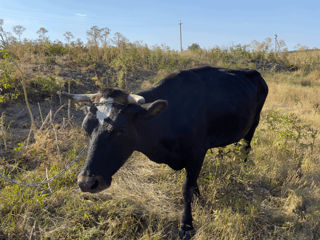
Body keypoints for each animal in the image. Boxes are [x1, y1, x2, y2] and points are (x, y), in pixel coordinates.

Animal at [63, 65, 268, 238]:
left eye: (121, 130)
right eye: (85, 128)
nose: (87, 182)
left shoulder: (196, 152)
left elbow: (186, 188)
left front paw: (187, 225)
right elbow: (192, 183)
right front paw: (198, 198)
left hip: (254, 123)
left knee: (246, 146)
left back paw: (242, 168)